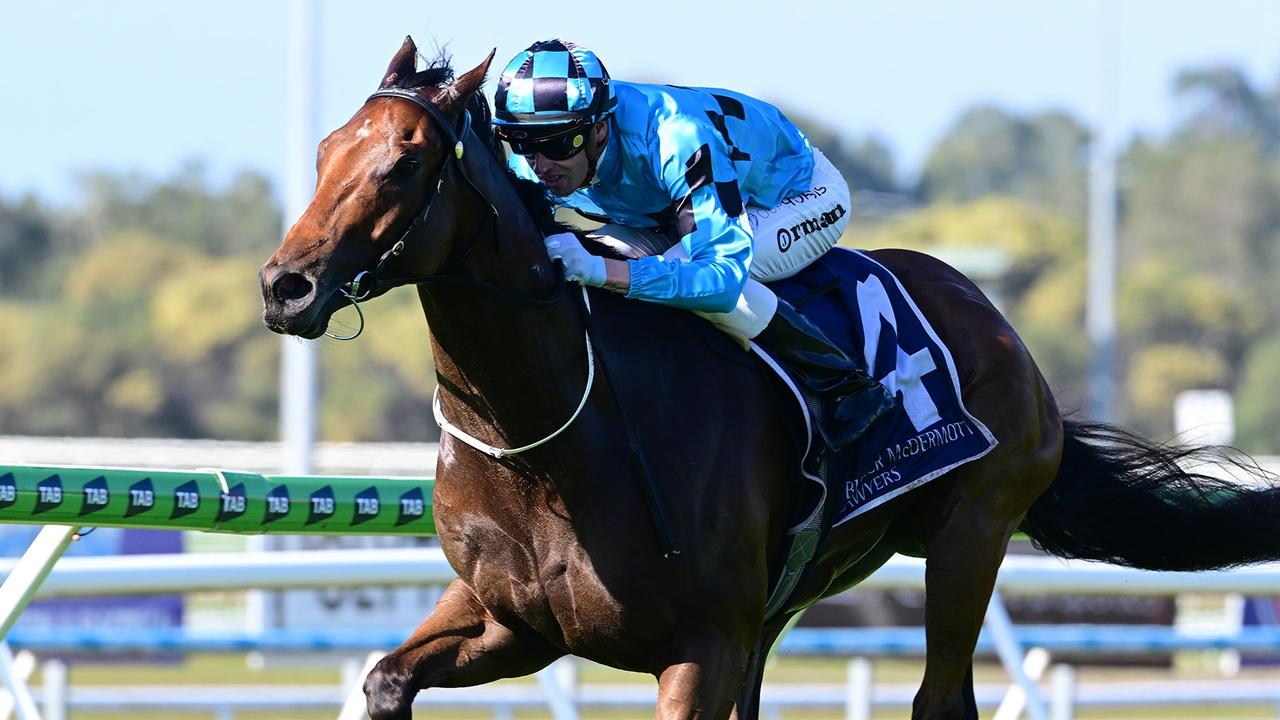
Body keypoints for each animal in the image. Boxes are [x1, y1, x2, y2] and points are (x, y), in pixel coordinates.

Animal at [259, 40, 1280, 717]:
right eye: (324, 151)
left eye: (405, 162)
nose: (285, 285)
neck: (545, 443)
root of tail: (999, 326)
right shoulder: (512, 622)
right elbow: (385, 677)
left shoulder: (703, 646)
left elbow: (717, 264)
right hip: (791, 603)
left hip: (970, 534)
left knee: (938, 698)